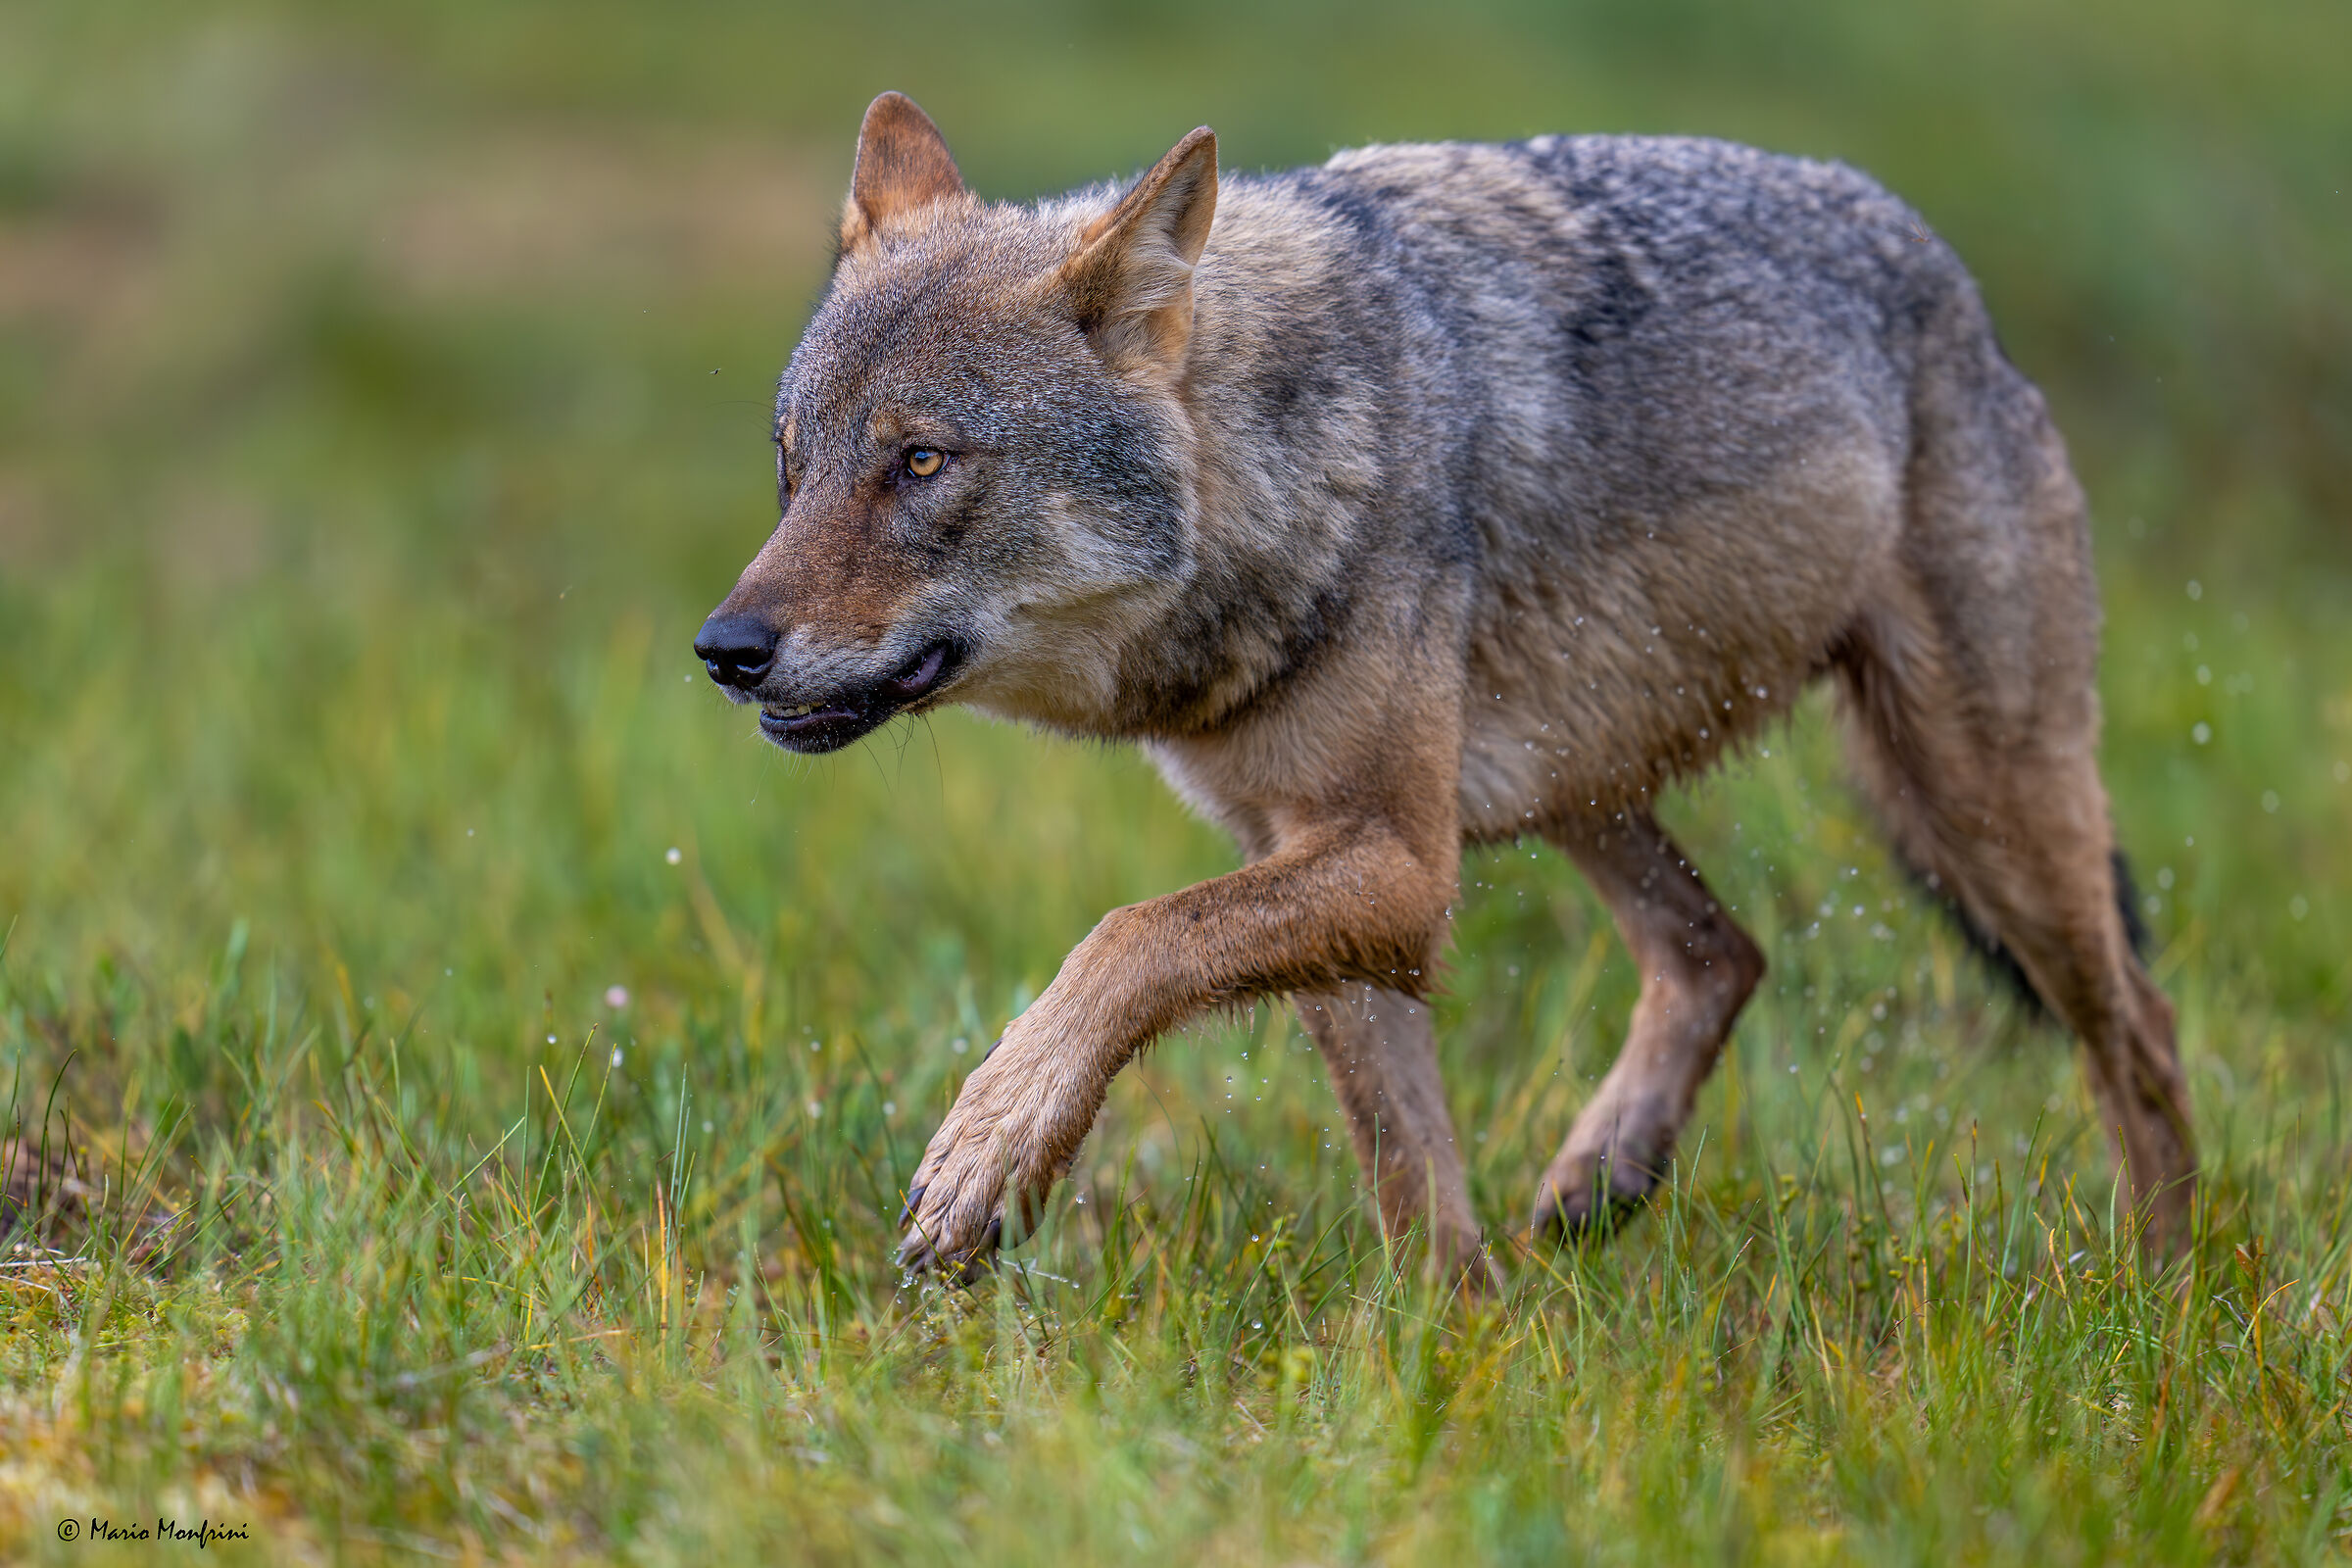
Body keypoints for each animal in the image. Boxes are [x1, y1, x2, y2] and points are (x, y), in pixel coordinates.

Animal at [694, 92, 2196, 1282]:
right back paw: (1605, 1173)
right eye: (793, 462)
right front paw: (1454, 1352)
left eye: (921, 464)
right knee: (1723, 948)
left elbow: (1127, 938)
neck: (1281, 471)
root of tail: (1942, 269)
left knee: (2144, 1032)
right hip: (1583, 785)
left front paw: (988, 1153)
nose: (725, 649)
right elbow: (1408, 1171)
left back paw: (2163, 1296)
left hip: (1975, 813)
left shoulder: (1397, 866)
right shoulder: (1323, 855)